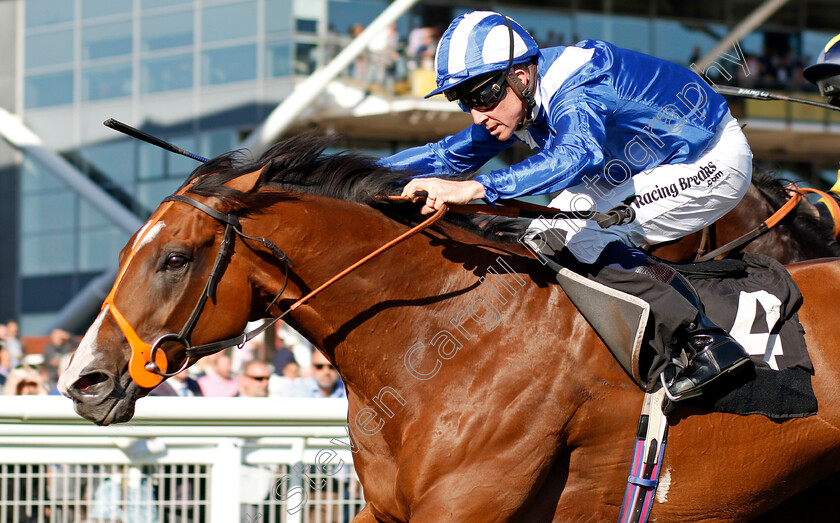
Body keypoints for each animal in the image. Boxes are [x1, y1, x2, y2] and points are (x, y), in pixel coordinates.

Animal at [59, 137, 840, 520]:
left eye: (175, 257)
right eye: (125, 254)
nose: (81, 379)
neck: (445, 336)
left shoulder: (464, 506)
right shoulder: (391, 510)